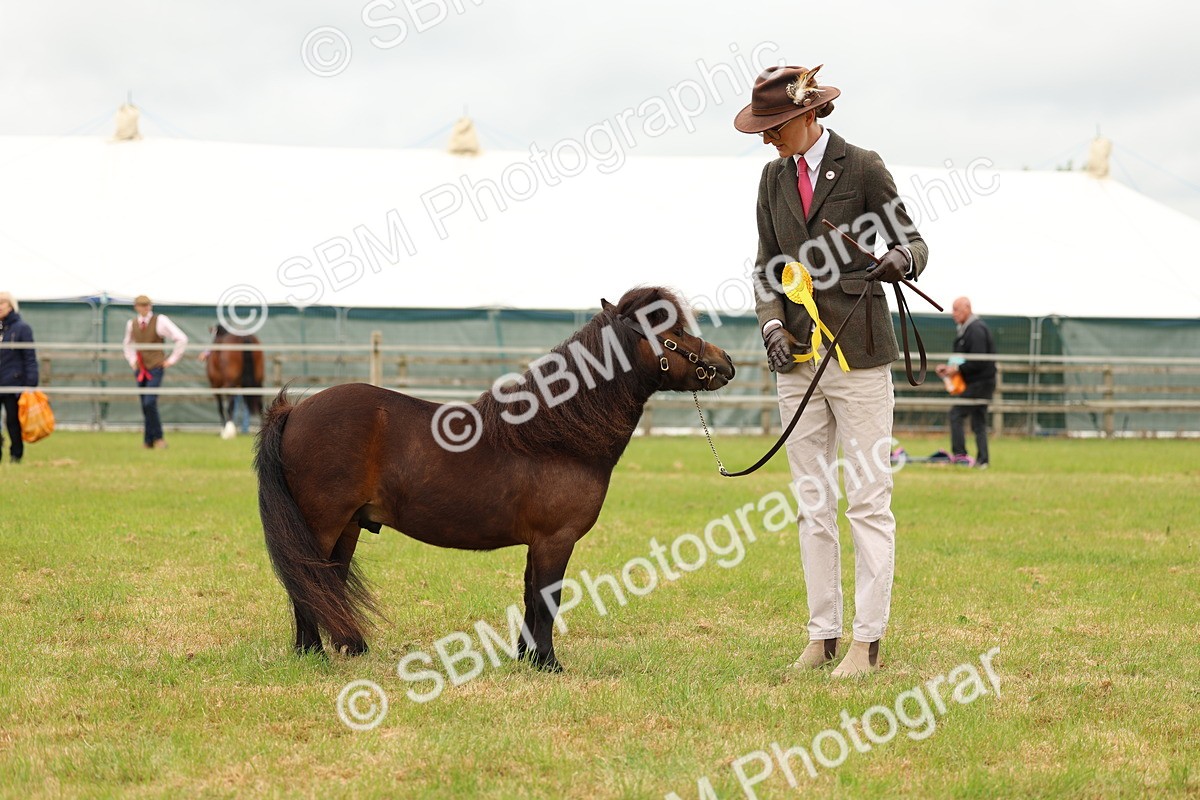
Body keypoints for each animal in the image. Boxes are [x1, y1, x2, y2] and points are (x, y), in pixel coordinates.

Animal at [254, 286, 735, 671]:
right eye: (672, 330)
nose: (726, 361)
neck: (557, 438)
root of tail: (295, 410)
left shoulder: (538, 543)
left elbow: (529, 597)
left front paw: (526, 658)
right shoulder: (556, 539)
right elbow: (547, 599)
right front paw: (549, 664)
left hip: (349, 526)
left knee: (326, 581)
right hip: (323, 523)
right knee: (307, 580)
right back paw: (313, 653)